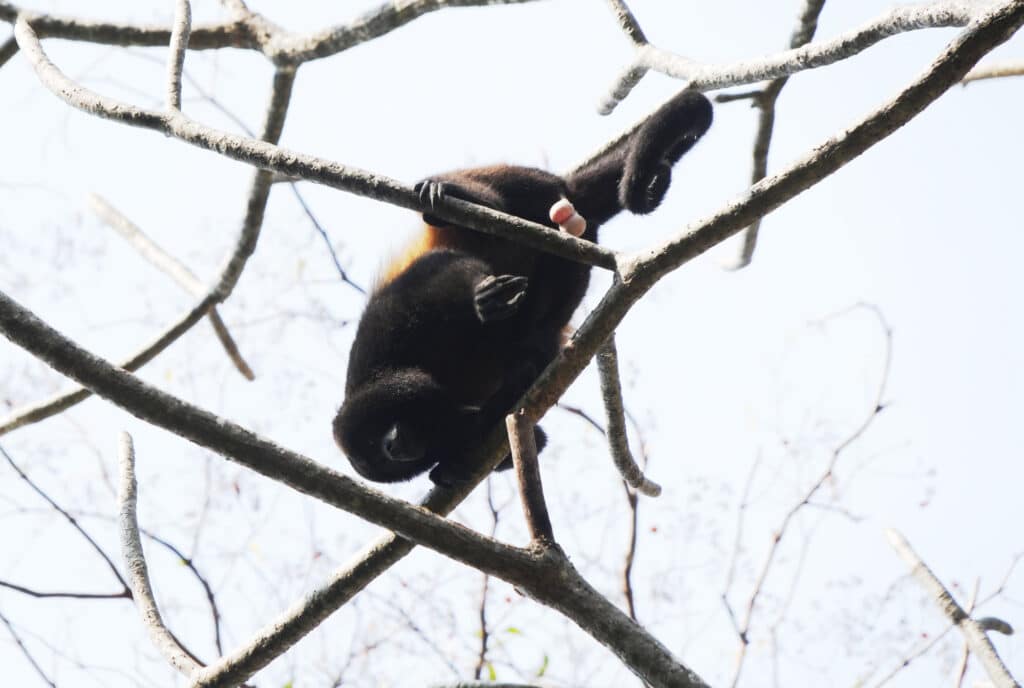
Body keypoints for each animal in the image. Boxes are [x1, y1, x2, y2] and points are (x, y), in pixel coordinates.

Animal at [333, 90, 712, 486]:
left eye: (375, 441)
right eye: (391, 463)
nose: (397, 447)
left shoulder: (382, 327)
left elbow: (443, 266)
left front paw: (481, 298)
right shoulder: (453, 419)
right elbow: (526, 436)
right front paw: (448, 468)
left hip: (524, 181)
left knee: (473, 205)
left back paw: (451, 195)